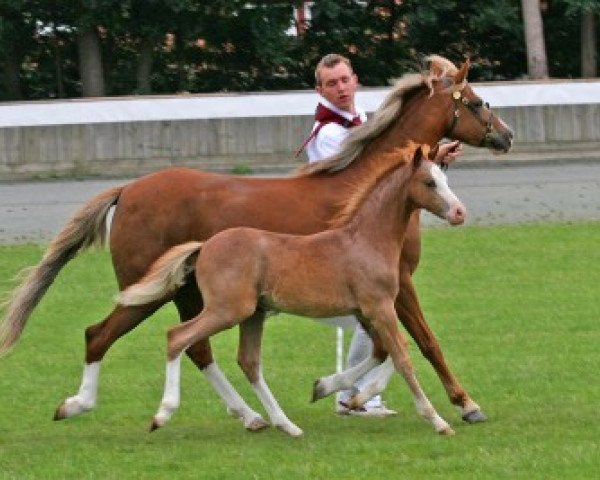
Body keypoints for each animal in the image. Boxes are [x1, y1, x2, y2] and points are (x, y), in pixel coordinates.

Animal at [119, 144, 466, 436]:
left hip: (252, 314)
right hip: (229, 309)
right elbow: (403, 355)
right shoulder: (379, 307)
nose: (459, 212)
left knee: (248, 361)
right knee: (178, 337)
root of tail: (204, 246)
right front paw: (438, 420)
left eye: (445, 178)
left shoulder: (365, 312)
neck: (366, 239)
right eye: (429, 183)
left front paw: (327, 389)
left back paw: (286, 425)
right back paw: (163, 415)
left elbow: (389, 351)